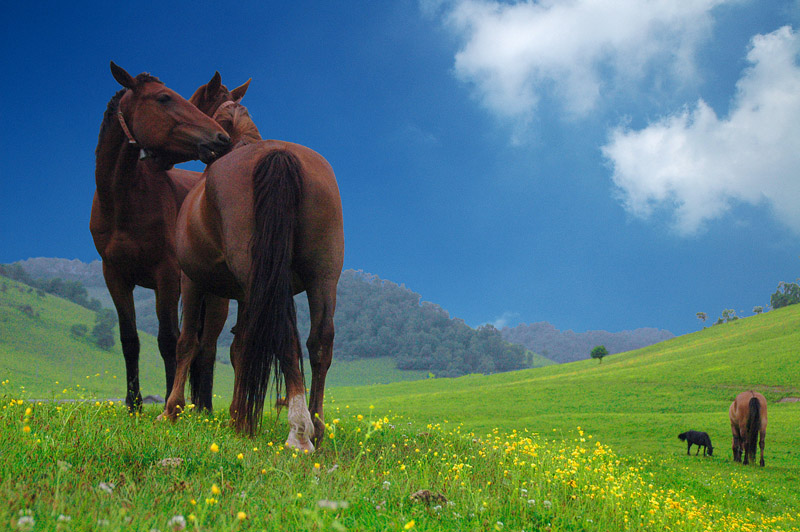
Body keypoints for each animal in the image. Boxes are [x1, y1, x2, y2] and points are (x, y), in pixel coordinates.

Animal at [90, 63, 230, 412]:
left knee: (207, 348)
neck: (123, 201)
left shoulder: (166, 276)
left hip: (217, 295)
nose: (222, 139)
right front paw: (134, 405)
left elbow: (169, 340)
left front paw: (171, 403)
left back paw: (204, 409)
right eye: (164, 98)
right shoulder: (115, 276)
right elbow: (130, 339)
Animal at [162, 72, 344, 450]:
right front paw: (240, 418)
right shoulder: (248, 292)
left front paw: (172, 410)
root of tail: (278, 154)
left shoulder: (192, 279)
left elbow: (188, 342)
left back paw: (299, 430)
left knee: (285, 336)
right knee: (320, 341)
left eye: (193, 104)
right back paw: (316, 426)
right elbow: (241, 347)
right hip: (323, 276)